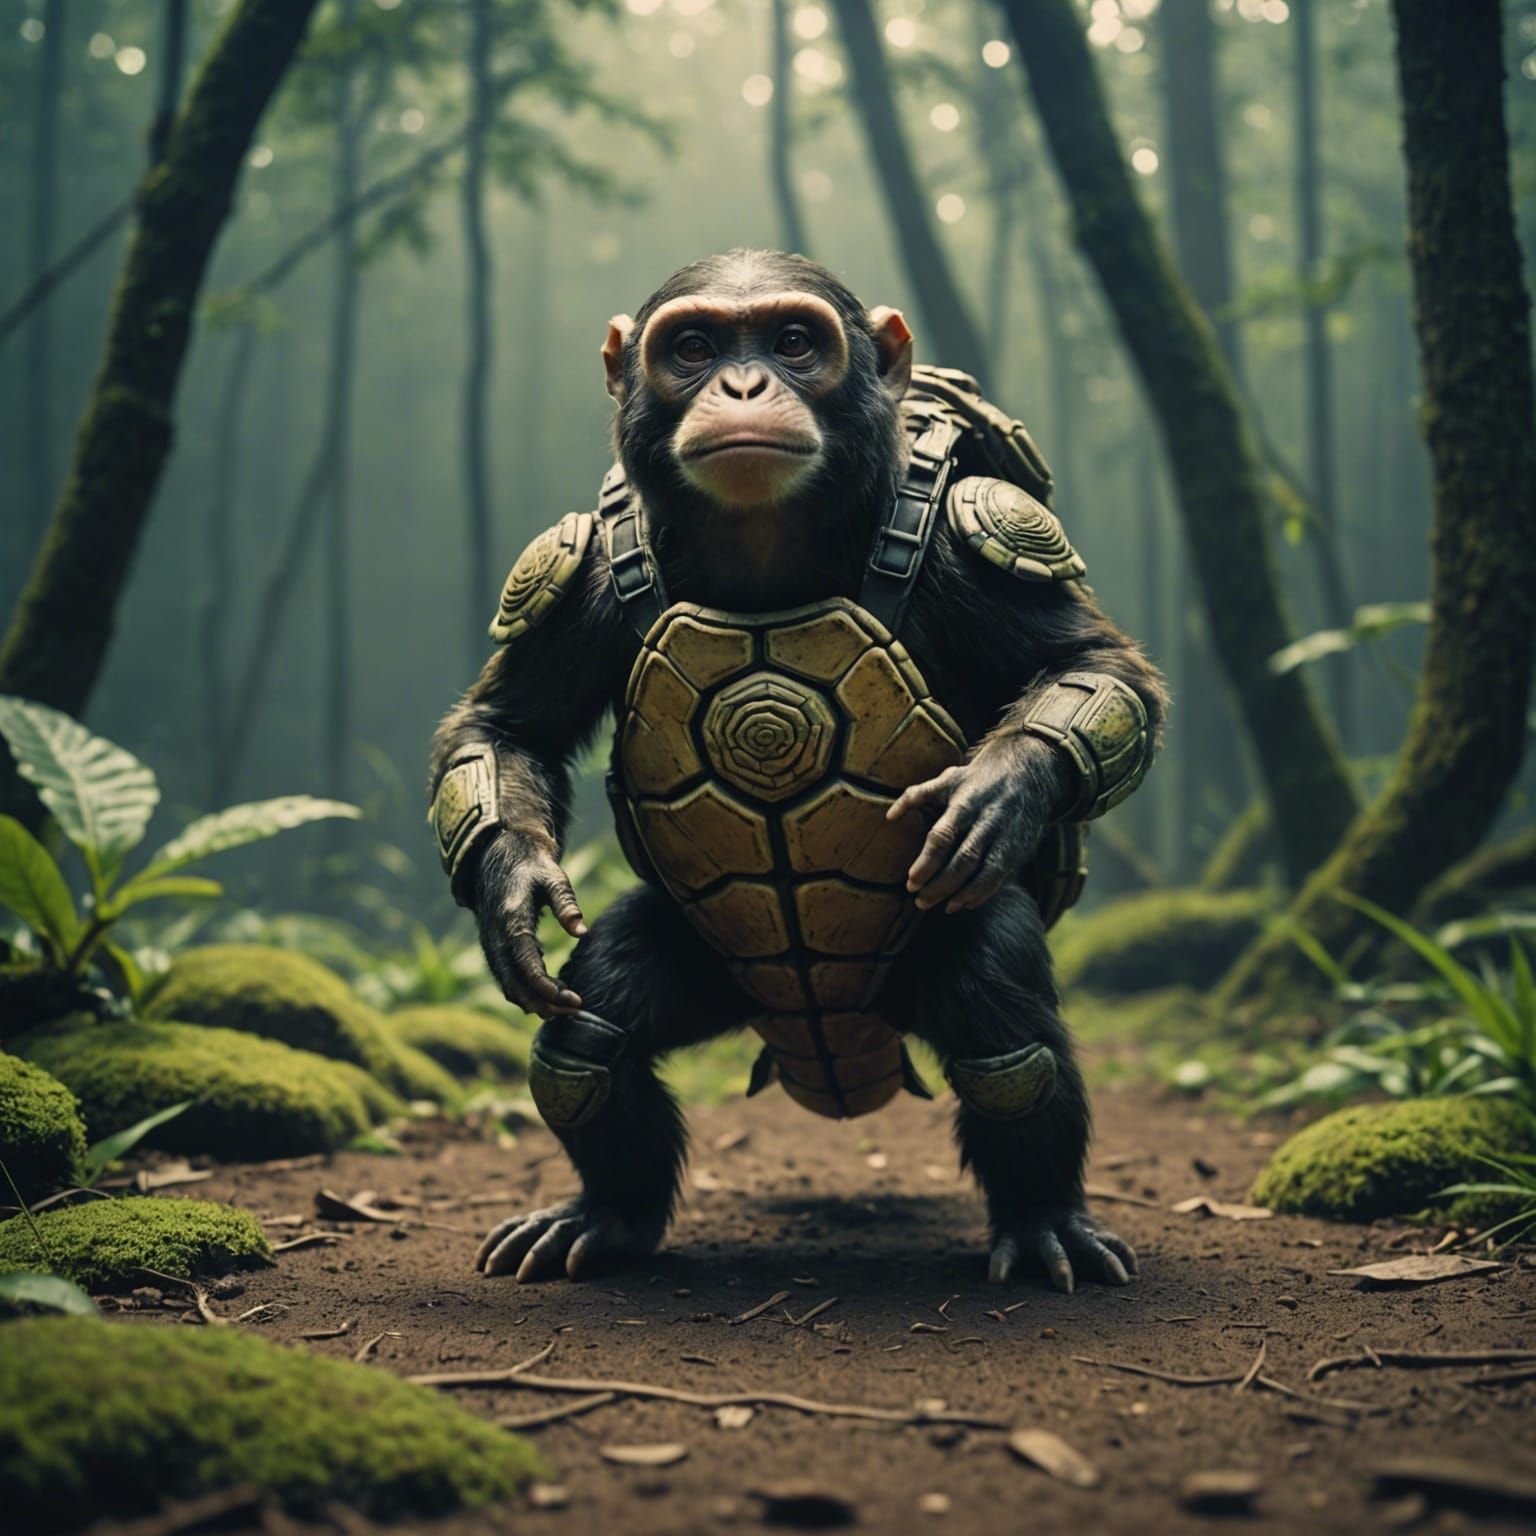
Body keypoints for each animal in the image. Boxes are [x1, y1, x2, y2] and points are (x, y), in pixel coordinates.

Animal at [428, 249, 1166, 1291]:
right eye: (693, 349)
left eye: (791, 342)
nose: (743, 386)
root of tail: (831, 1044)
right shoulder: (573, 568)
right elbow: (507, 729)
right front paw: (513, 890)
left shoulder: (979, 533)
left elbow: (1098, 672)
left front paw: (999, 791)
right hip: (715, 968)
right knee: (586, 1043)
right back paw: (607, 1216)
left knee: (1001, 1035)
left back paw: (1042, 1221)